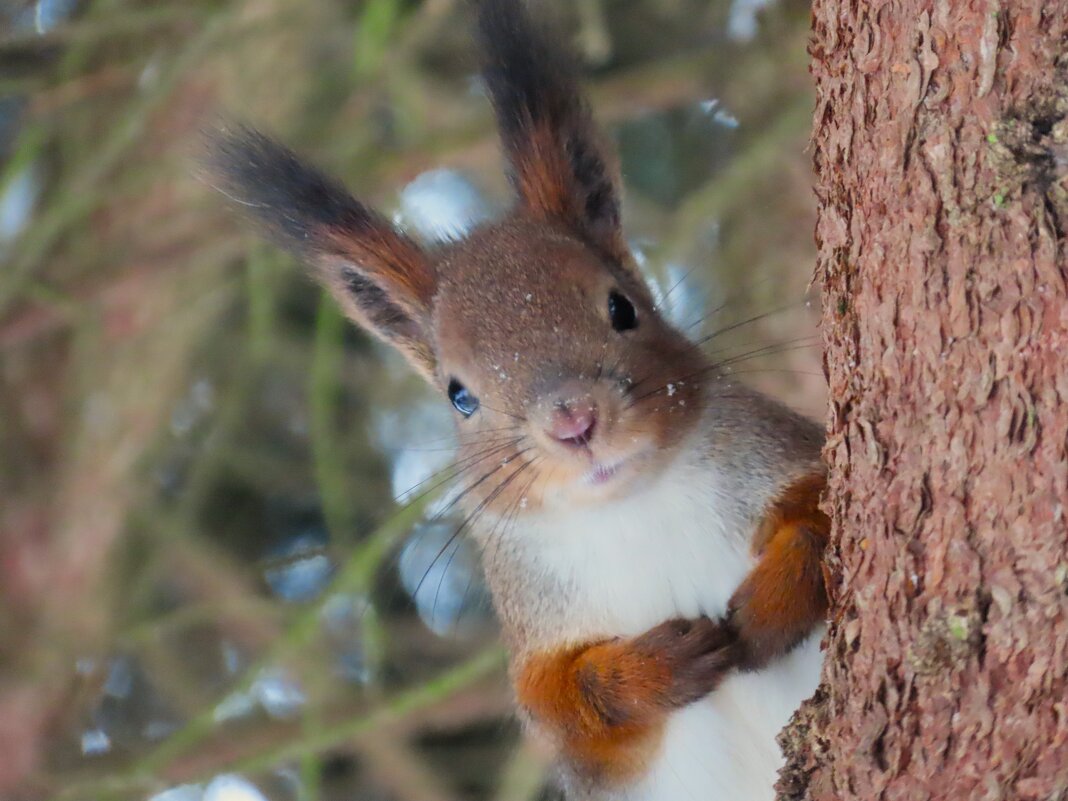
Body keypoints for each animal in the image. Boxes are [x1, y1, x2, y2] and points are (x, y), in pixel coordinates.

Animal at [206, 3, 824, 798]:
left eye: (623, 308)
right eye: (459, 396)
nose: (574, 421)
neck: (634, 507)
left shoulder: (781, 451)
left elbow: (823, 508)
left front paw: (775, 599)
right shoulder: (537, 638)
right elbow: (561, 704)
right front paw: (648, 670)